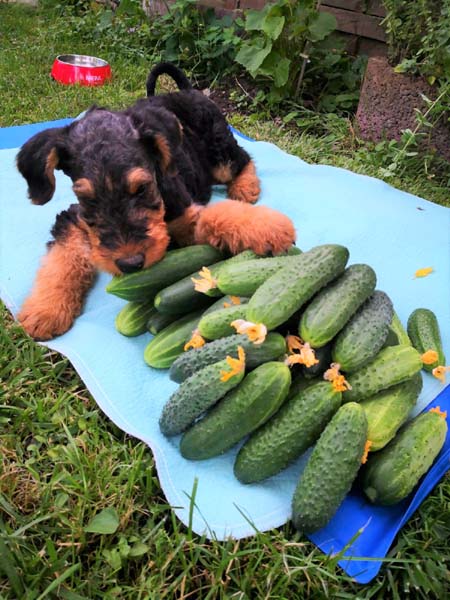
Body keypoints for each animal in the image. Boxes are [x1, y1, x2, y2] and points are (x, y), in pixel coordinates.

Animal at [16, 64, 296, 342]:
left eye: (142, 188)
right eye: (87, 198)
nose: (130, 264)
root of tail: (188, 90)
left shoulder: (186, 217)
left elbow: (216, 217)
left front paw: (270, 227)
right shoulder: (72, 218)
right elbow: (64, 257)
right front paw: (45, 311)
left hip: (219, 153)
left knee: (243, 158)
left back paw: (245, 188)